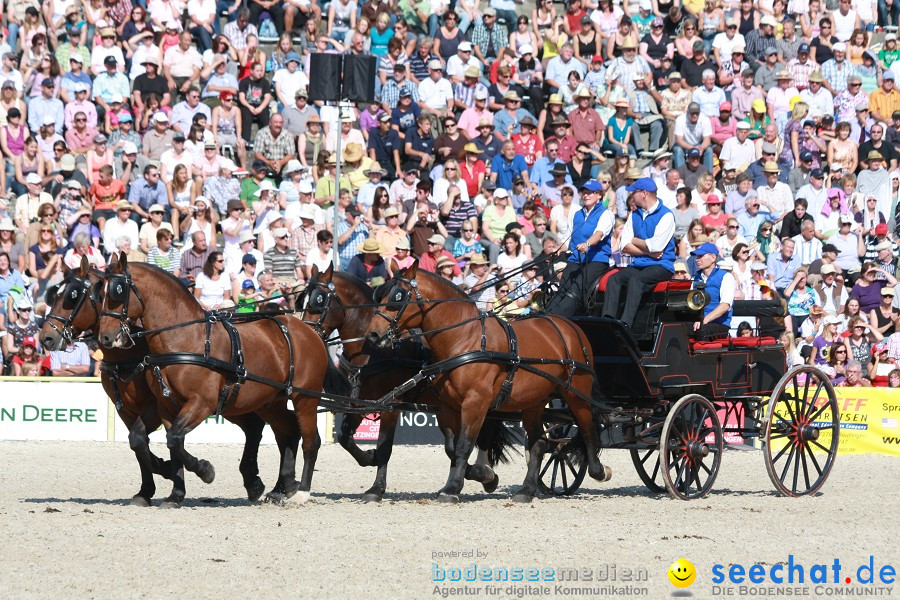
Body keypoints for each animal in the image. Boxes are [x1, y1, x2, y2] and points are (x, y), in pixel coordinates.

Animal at [39, 255, 270, 504]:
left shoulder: (154, 404)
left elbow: (146, 441)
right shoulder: (127, 409)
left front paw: (171, 472)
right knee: (254, 427)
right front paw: (150, 487)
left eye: (72, 296)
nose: (46, 338)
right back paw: (254, 483)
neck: (129, 354)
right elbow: (139, 443)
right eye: (53, 295)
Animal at [94, 253, 342, 506]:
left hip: (305, 398)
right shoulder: (165, 406)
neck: (186, 339)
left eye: (117, 290)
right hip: (271, 402)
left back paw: (301, 491)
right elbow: (163, 442)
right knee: (288, 431)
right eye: (99, 293)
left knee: (311, 441)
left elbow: (174, 439)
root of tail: (309, 331)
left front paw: (205, 471)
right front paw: (175, 493)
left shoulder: (202, 403)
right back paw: (282, 487)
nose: (105, 337)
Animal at [300, 264, 512, 500]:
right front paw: (369, 457)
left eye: (318, 300)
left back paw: (484, 474)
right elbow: (345, 436)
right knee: (457, 442)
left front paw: (377, 488)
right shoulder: (363, 400)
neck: (375, 351)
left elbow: (385, 445)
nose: (305, 331)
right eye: (303, 300)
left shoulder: (392, 404)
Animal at [366, 262, 612, 502]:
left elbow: (464, 446)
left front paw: (456, 488)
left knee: (588, 429)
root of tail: (570, 326)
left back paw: (599, 470)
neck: (466, 338)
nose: (373, 335)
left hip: (576, 392)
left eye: (398, 296)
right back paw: (526, 490)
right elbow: (452, 448)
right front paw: (475, 478)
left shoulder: (476, 402)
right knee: (540, 443)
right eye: (381, 295)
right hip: (534, 402)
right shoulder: (447, 407)